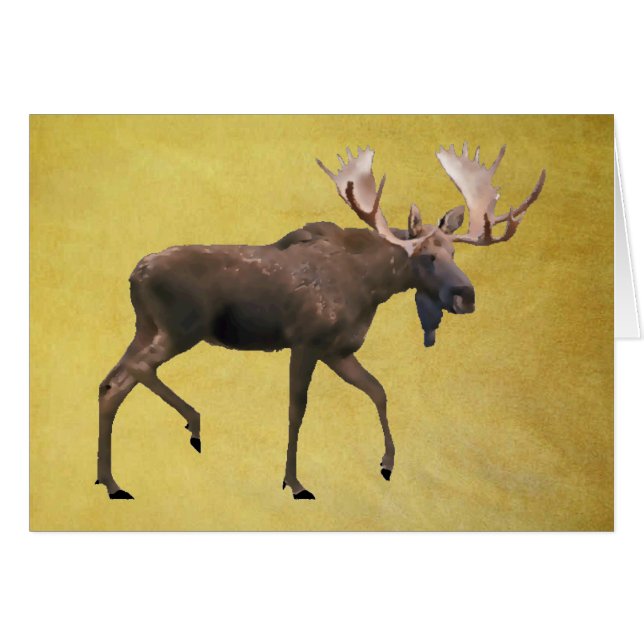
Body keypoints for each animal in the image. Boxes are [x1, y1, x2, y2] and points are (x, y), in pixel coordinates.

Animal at [96, 143, 546, 500]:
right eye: (427, 256)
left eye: (453, 252)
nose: (465, 296)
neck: (371, 287)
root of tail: (135, 274)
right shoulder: (306, 342)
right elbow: (298, 409)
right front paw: (294, 482)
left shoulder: (338, 350)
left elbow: (379, 391)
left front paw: (387, 462)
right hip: (180, 329)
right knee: (131, 373)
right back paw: (191, 424)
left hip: (147, 327)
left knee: (111, 383)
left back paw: (111, 480)